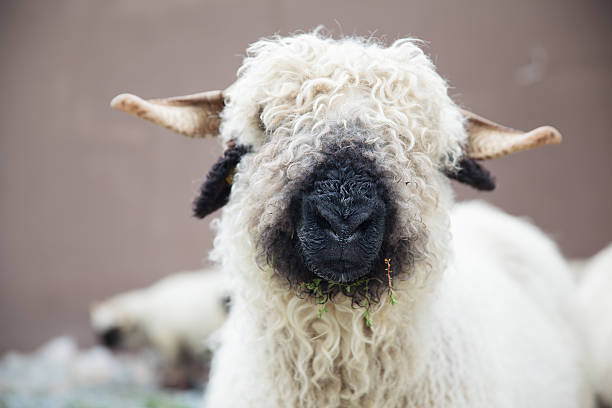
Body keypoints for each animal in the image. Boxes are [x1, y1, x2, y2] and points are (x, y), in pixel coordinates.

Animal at [92, 268, 231, 388]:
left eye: (114, 331)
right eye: (99, 331)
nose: (105, 346)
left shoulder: (168, 342)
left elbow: (173, 365)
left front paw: (173, 383)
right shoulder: (183, 346)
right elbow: (185, 366)